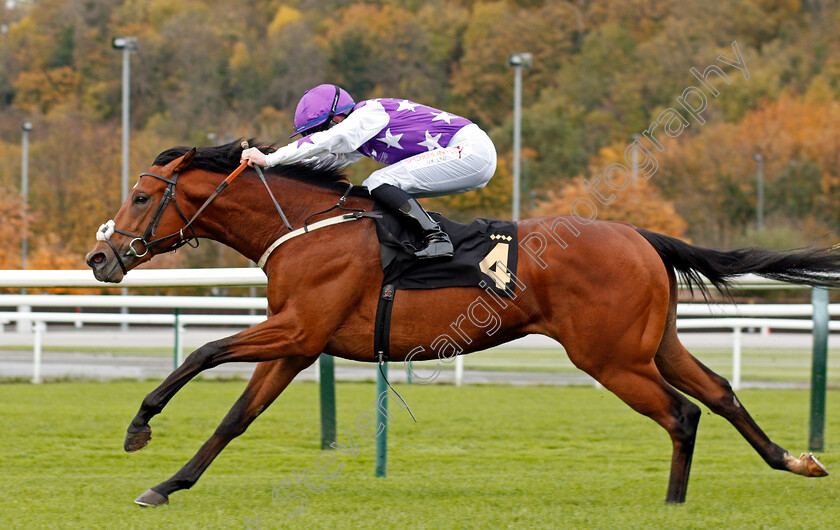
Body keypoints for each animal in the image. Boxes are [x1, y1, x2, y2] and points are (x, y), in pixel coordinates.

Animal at [85, 138, 832, 506]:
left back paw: (674, 505)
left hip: (611, 358)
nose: (100, 256)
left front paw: (139, 426)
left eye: (142, 196)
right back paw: (792, 460)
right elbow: (236, 418)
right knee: (721, 396)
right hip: (656, 345)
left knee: (682, 414)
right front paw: (168, 485)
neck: (304, 226)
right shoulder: (299, 344)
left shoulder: (298, 330)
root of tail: (642, 237)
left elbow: (202, 352)